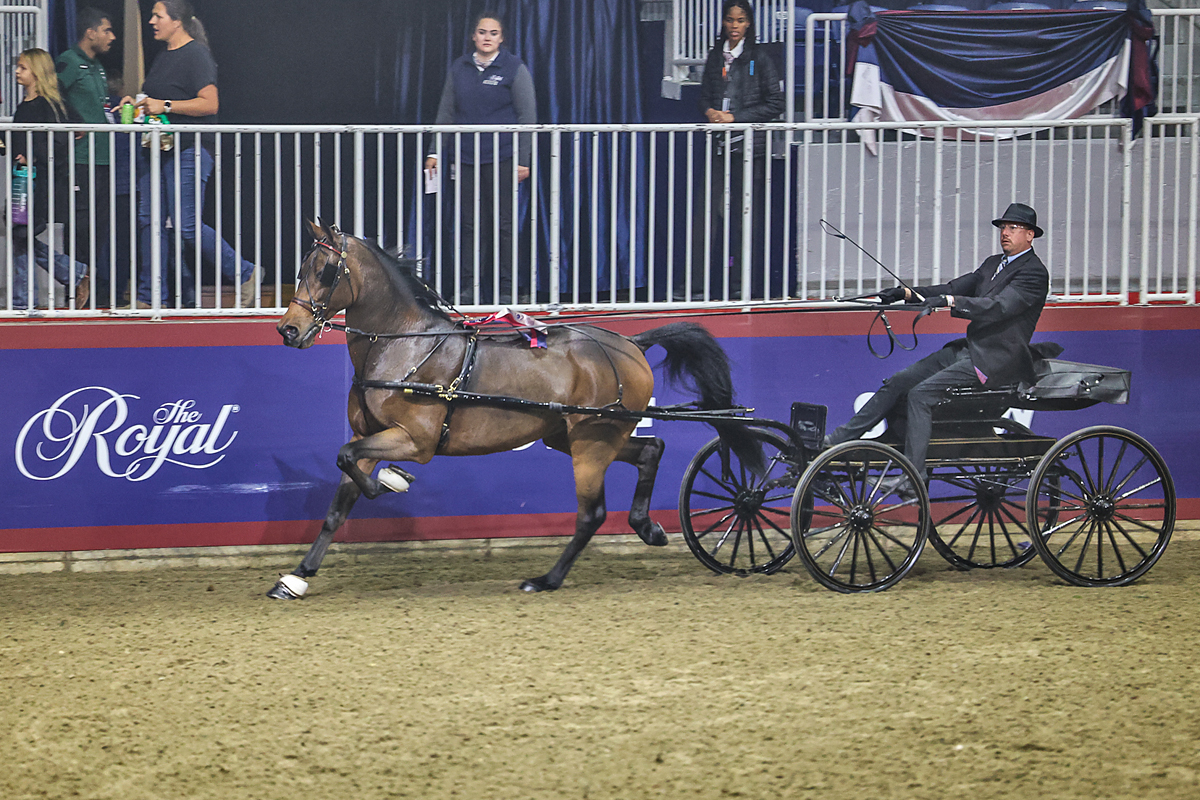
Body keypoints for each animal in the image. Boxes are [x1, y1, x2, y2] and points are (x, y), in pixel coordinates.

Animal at [270, 221, 758, 597]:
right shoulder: (368, 435)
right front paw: (296, 577)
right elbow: (338, 502)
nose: (288, 330)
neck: (403, 347)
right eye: (300, 269)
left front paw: (390, 481)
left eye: (326, 270)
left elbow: (351, 464)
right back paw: (647, 527)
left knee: (591, 513)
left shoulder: (414, 441)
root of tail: (630, 343)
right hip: (577, 435)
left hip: (590, 442)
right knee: (651, 449)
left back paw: (546, 579)